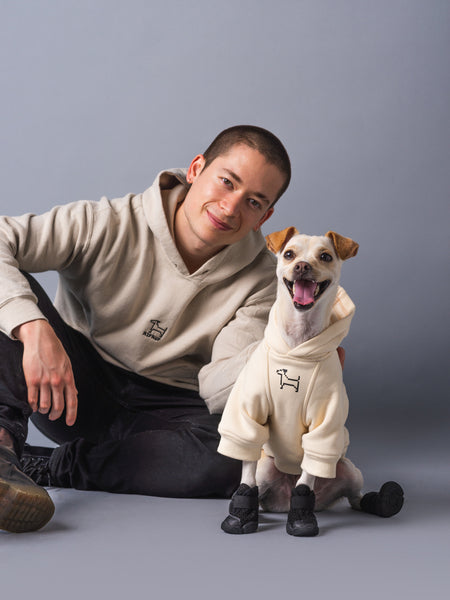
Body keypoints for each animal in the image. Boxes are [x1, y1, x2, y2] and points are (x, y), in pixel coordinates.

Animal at [218, 227, 404, 536]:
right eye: (289, 254)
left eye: (325, 256)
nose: (303, 266)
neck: (299, 341)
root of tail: (281, 501)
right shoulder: (249, 414)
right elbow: (247, 470)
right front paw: (240, 512)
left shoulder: (323, 423)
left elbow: (306, 479)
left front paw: (301, 516)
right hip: (268, 469)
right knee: (260, 491)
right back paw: (254, 508)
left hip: (348, 469)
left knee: (354, 497)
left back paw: (382, 501)